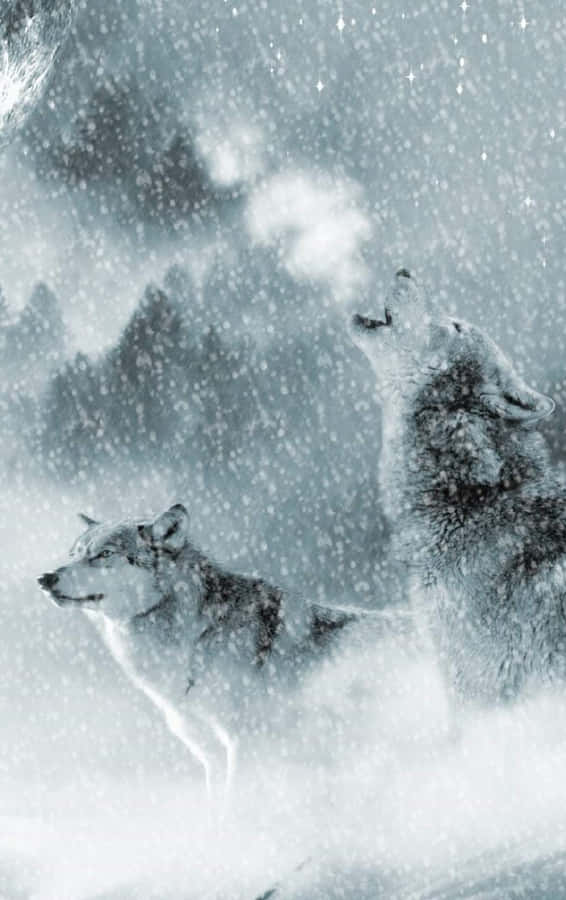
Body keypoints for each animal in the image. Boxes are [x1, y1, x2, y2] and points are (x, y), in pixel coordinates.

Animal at [38, 502, 393, 802]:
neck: (196, 637)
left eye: (104, 554)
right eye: (73, 554)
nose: (45, 578)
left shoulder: (245, 743)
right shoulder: (212, 756)